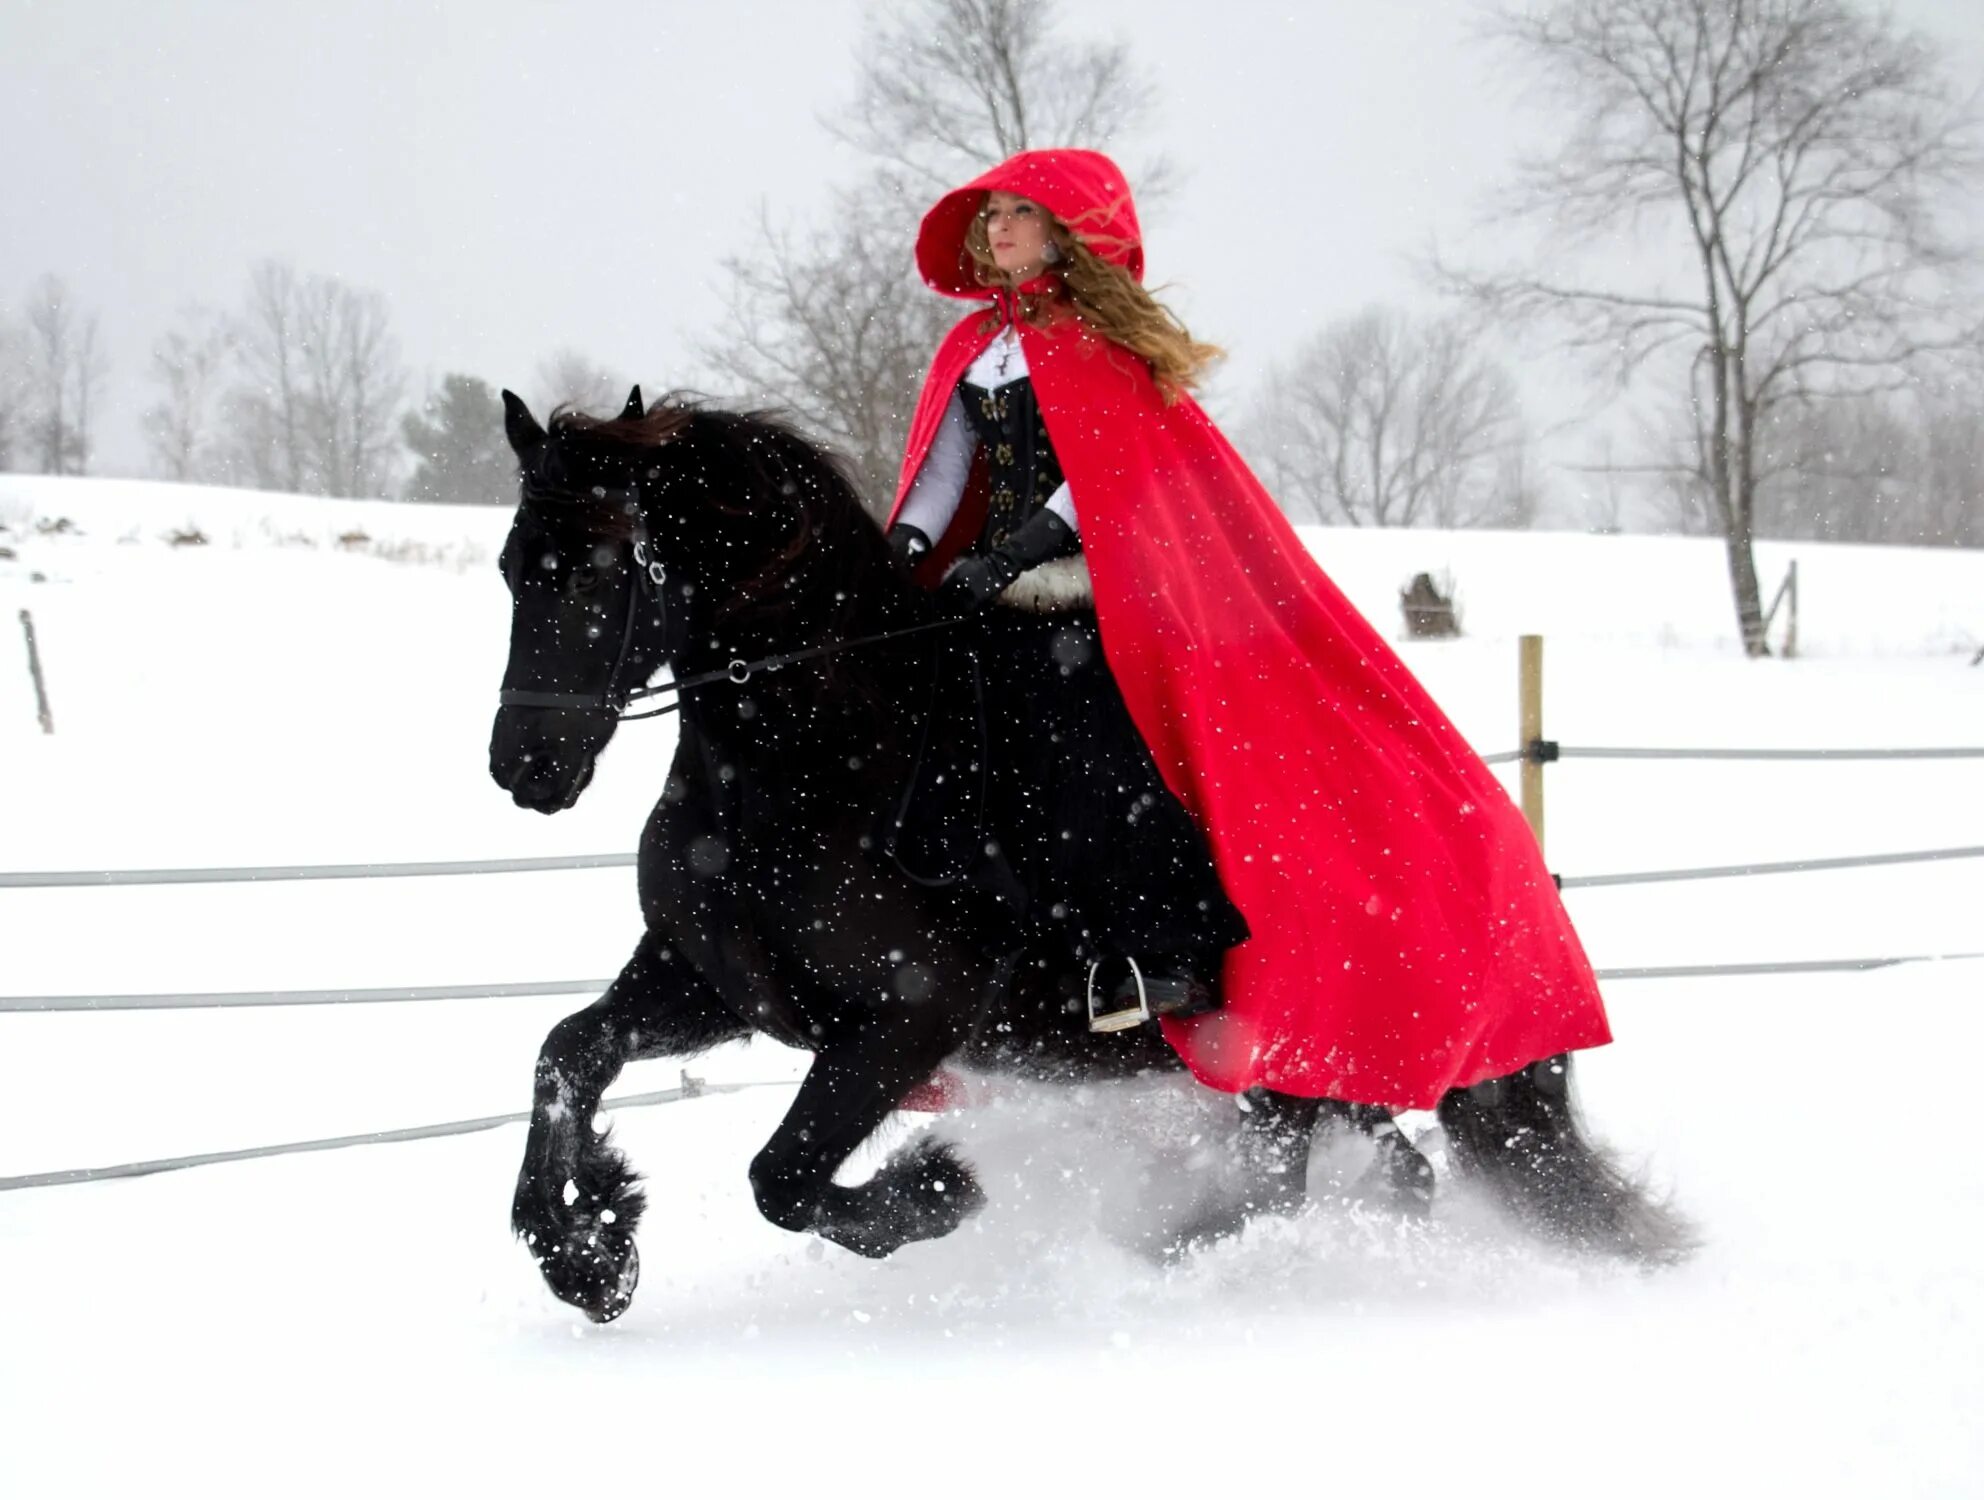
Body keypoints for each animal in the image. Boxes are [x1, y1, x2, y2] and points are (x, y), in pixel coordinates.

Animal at [488, 388, 1682, 1325]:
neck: (826, 755)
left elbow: (782, 1179)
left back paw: (1138, 1252)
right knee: (1370, 1177)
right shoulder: (721, 986)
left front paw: (937, 1189)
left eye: (594, 569)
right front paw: (589, 1248)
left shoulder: (909, 1016)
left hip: (1288, 1059)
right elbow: (565, 1056)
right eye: (511, 568)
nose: (523, 768)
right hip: (1309, 1079)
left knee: (1285, 1184)